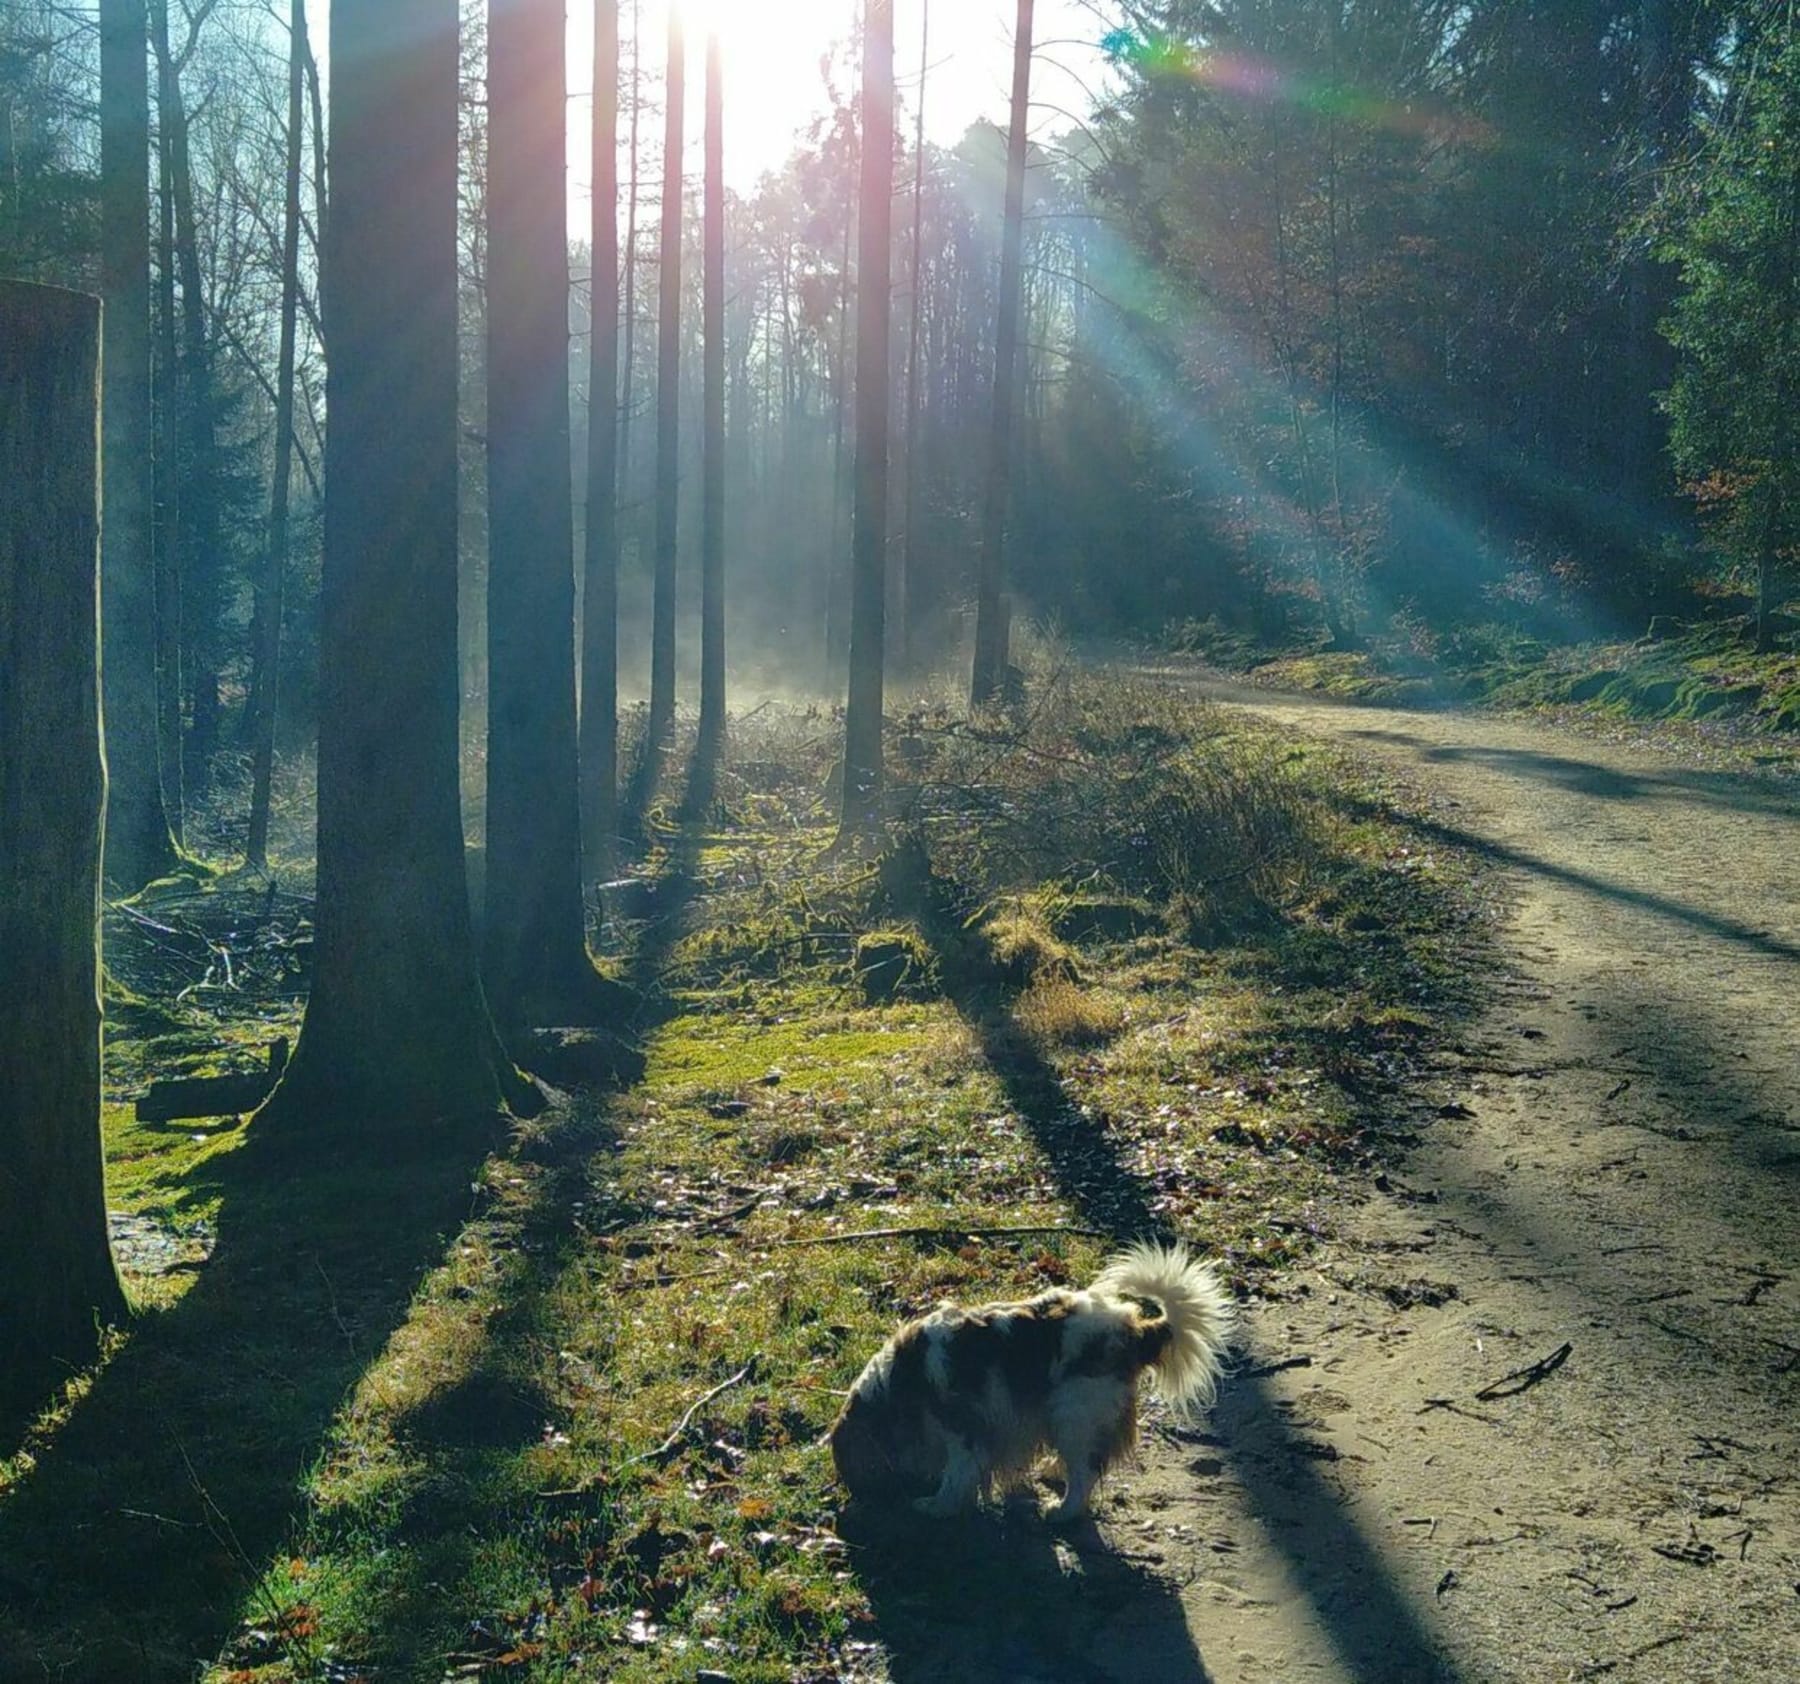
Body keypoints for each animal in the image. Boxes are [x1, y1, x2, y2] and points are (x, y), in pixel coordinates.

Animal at [831, 1237, 1238, 1525]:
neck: (901, 1382)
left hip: (1074, 1413)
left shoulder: (963, 1429)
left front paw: (937, 1505)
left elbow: (957, 1474)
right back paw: (1055, 1469)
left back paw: (1063, 1510)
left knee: (1086, 1471)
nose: (850, 1504)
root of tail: (1134, 1328)